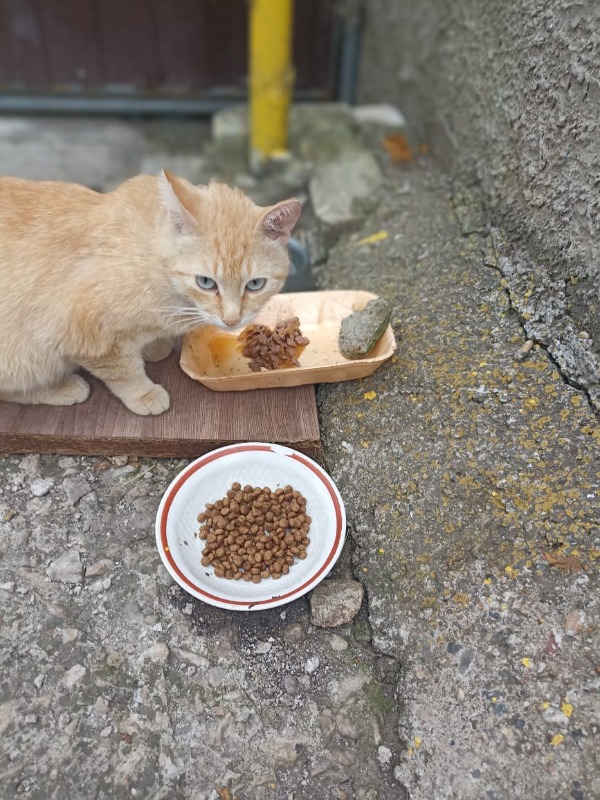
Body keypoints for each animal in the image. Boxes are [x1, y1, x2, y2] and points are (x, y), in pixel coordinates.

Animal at [0, 170, 301, 415]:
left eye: (255, 284)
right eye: (205, 282)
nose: (231, 320)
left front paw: (155, 346)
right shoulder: (84, 334)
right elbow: (122, 370)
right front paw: (143, 393)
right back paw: (61, 387)